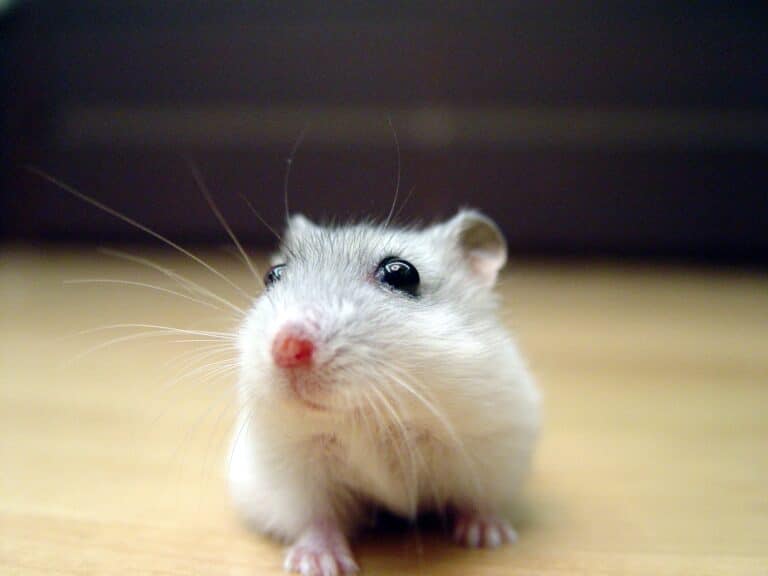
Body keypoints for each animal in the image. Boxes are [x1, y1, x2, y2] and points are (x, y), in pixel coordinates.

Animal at [229, 209, 540, 576]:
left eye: (402, 274)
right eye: (273, 275)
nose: (287, 348)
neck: (369, 414)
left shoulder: (489, 447)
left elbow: (477, 499)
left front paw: (489, 538)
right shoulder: (293, 465)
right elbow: (315, 517)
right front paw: (319, 565)